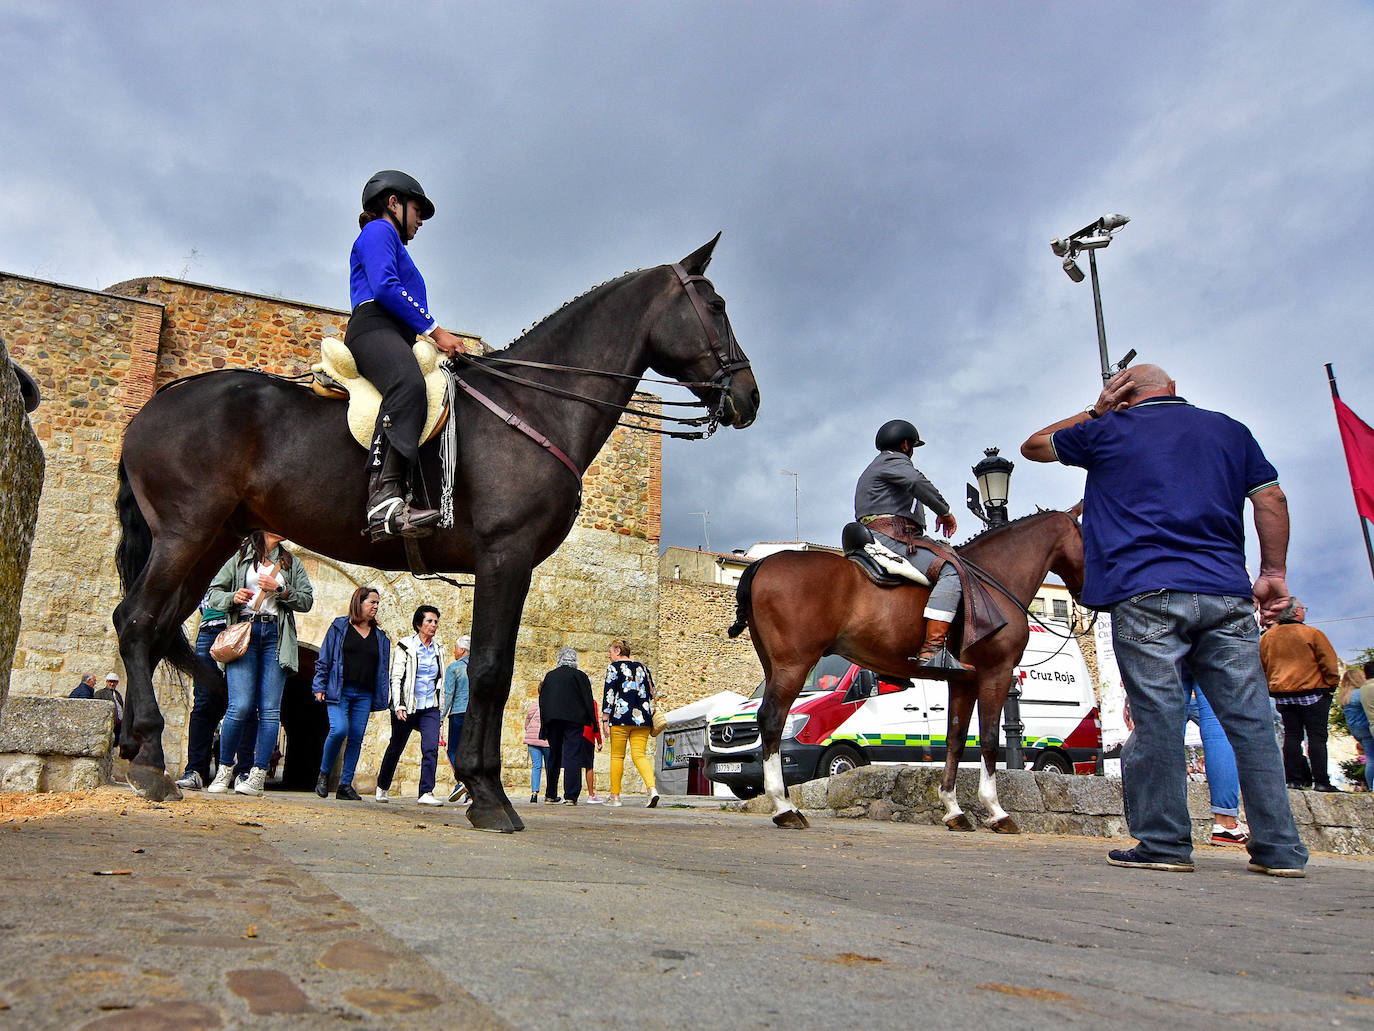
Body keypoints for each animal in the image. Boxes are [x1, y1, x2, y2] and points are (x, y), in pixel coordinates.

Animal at [115, 236, 763, 830]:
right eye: (716, 305)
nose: (749, 397)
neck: (533, 406)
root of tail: (159, 401)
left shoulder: (509, 566)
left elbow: (494, 670)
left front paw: (479, 788)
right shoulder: (506, 556)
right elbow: (490, 670)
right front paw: (488, 794)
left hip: (213, 541)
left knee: (154, 627)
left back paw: (141, 749)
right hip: (186, 533)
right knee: (138, 622)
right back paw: (148, 758)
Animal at [730, 508, 1082, 830]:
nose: (1082, 593)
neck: (993, 577)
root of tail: (761, 564)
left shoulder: (964, 681)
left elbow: (955, 738)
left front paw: (953, 809)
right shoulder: (996, 673)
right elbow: (990, 739)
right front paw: (996, 810)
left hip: (775, 665)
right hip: (794, 665)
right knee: (773, 719)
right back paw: (784, 807)